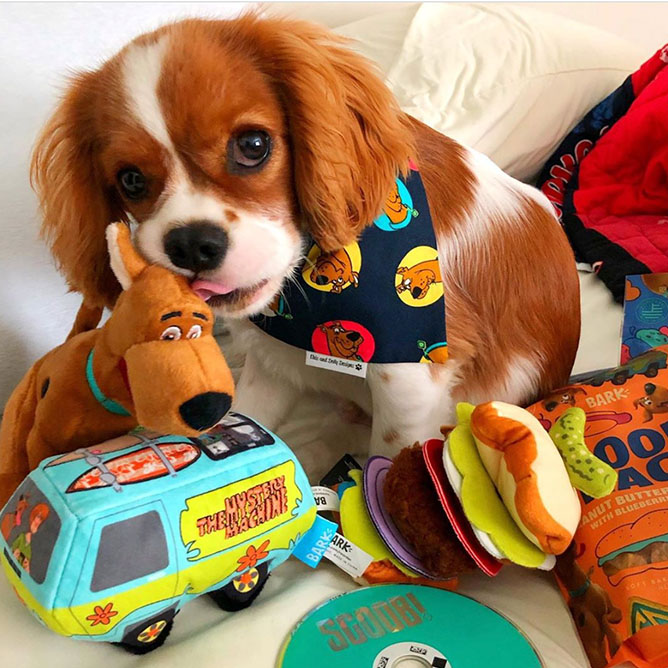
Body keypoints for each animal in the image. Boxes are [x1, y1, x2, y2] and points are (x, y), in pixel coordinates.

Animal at [28, 15, 580, 456]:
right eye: (130, 181)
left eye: (253, 145)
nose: (189, 244)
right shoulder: (274, 363)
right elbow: (248, 420)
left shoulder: (409, 380)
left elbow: (388, 461)